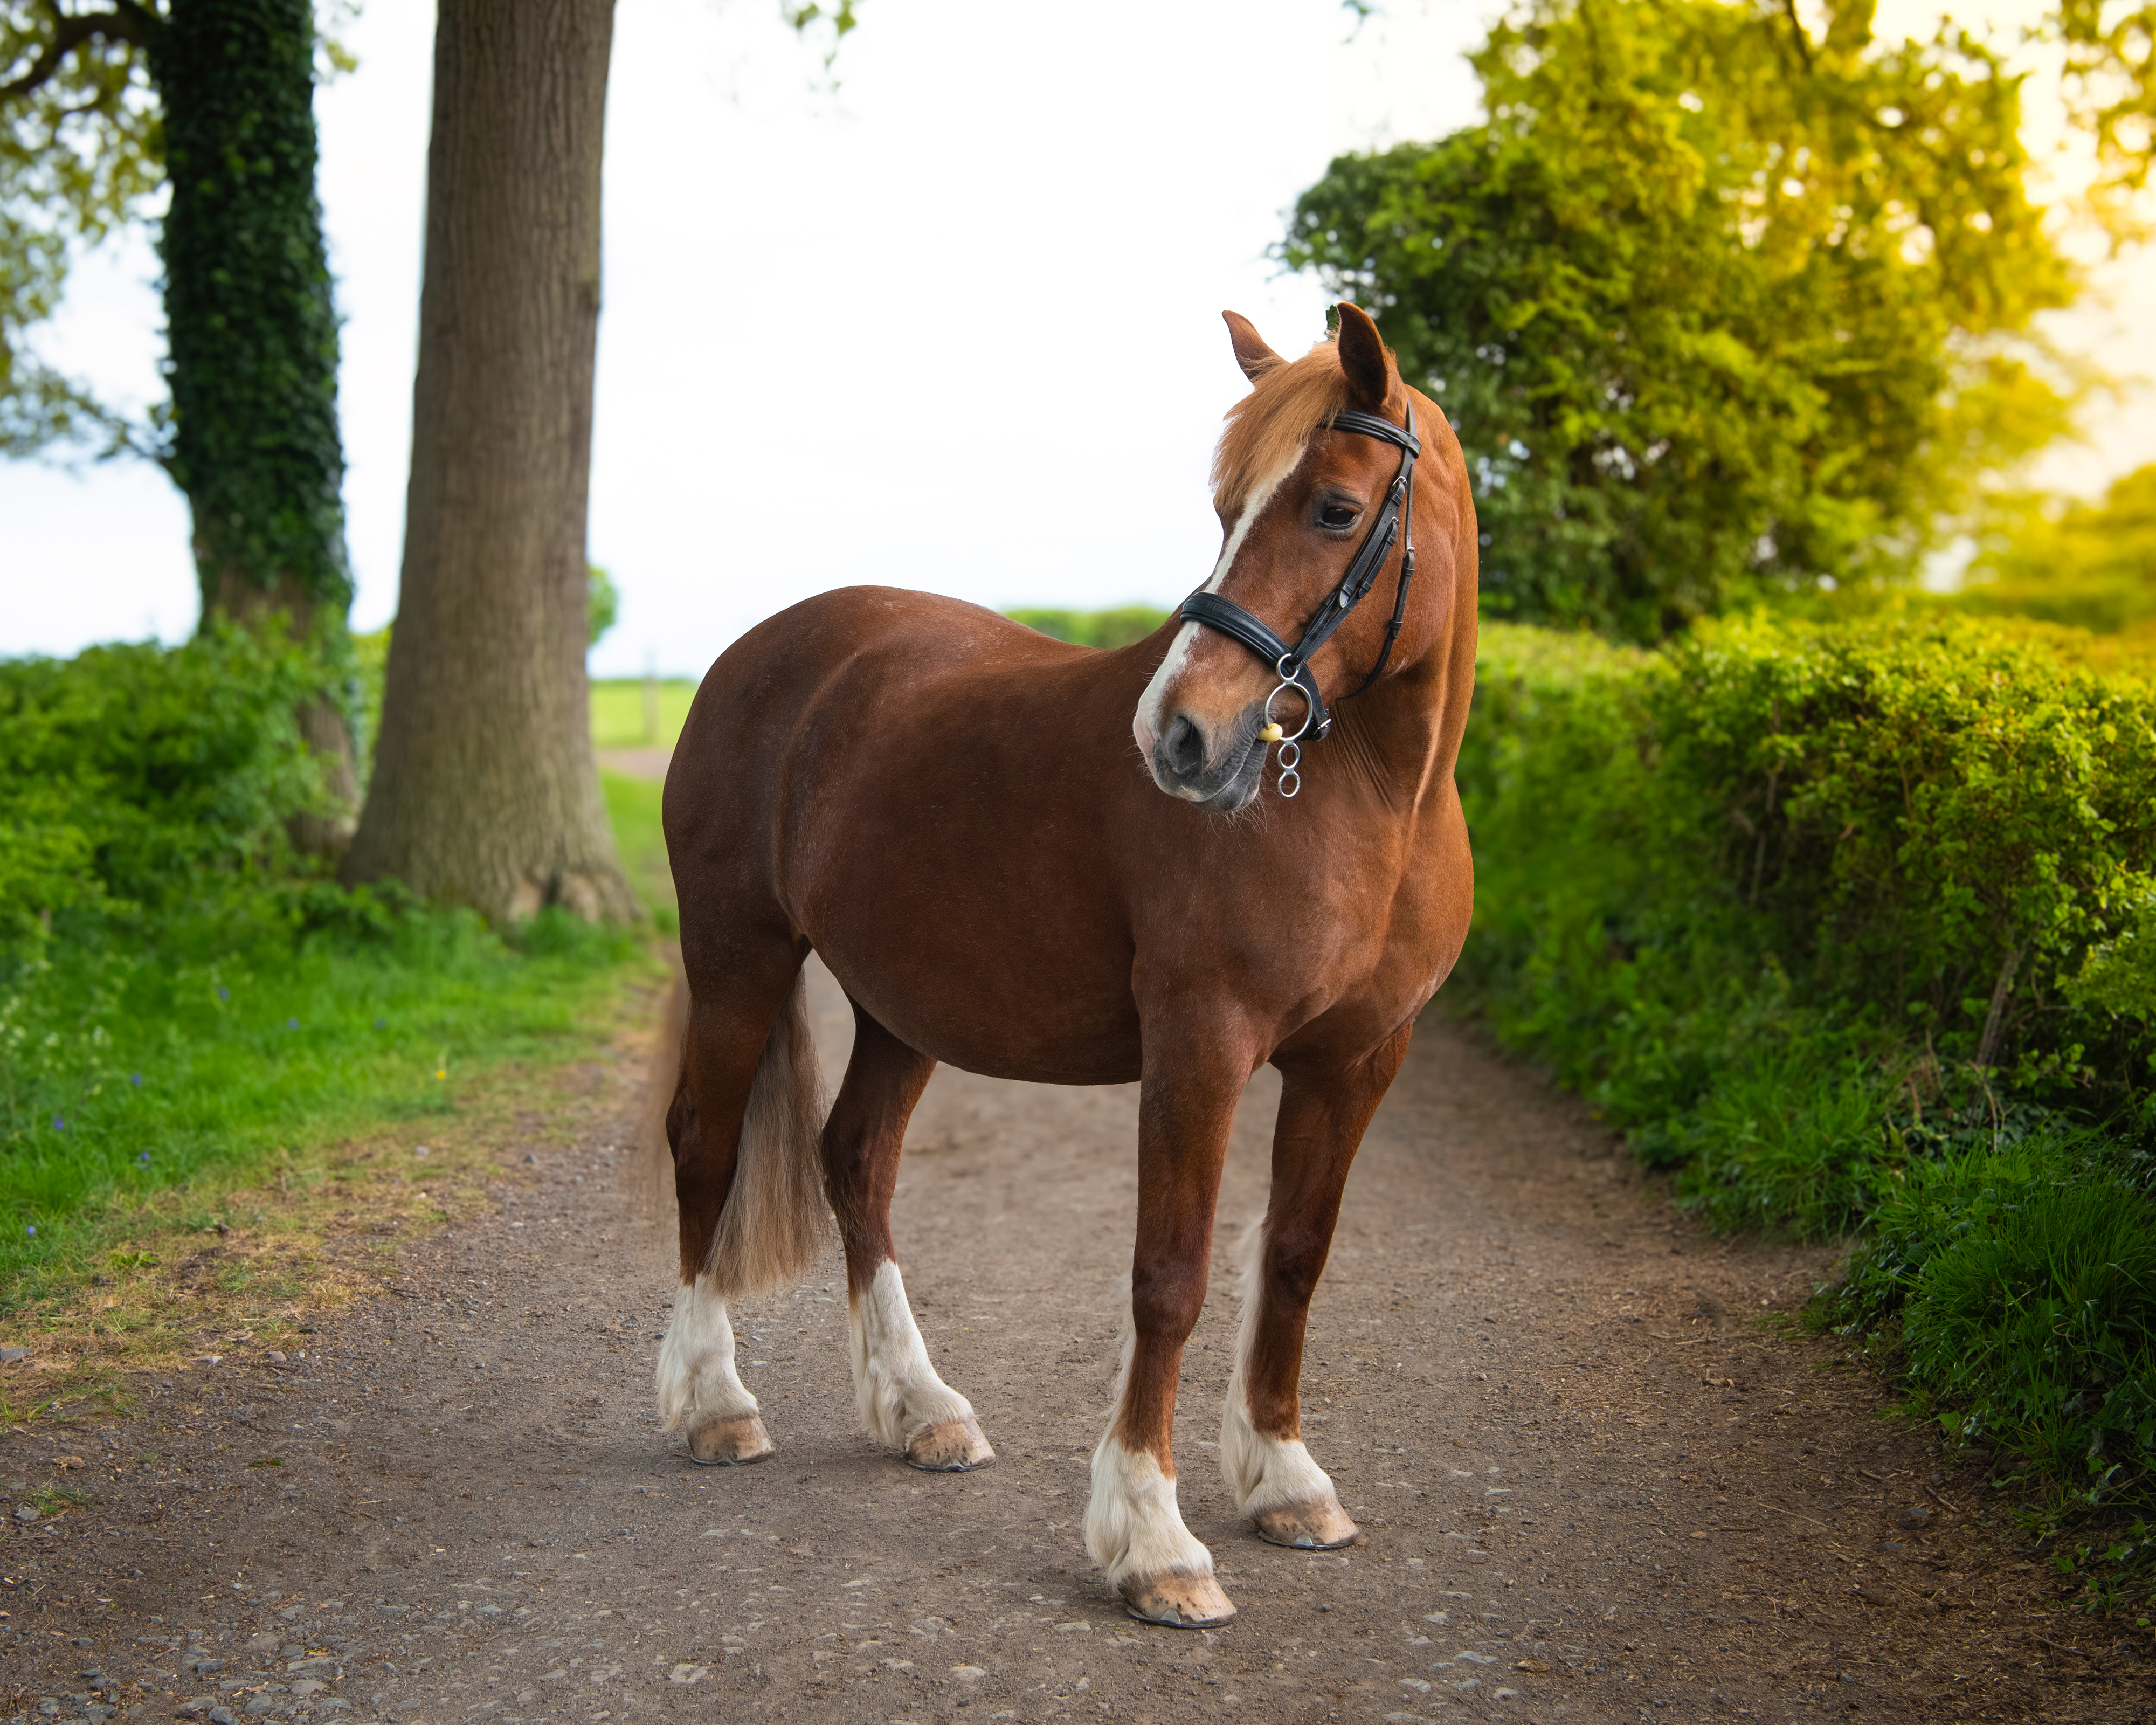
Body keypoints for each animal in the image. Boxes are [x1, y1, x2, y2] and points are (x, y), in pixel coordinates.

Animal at [652, 302, 1477, 1629]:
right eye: (1224, 507)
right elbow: (1170, 1278)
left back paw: (919, 1408)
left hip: (901, 1006)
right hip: (739, 960)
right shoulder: (1200, 1048)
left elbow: (1294, 1260)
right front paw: (1153, 1539)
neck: (1369, 809)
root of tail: (757, 652)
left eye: (1336, 508)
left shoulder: (1357, 1061)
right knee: (705, 1150)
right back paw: (715, 1400)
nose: (1178, 736)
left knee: (855, 1159)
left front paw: (1286, 1480)